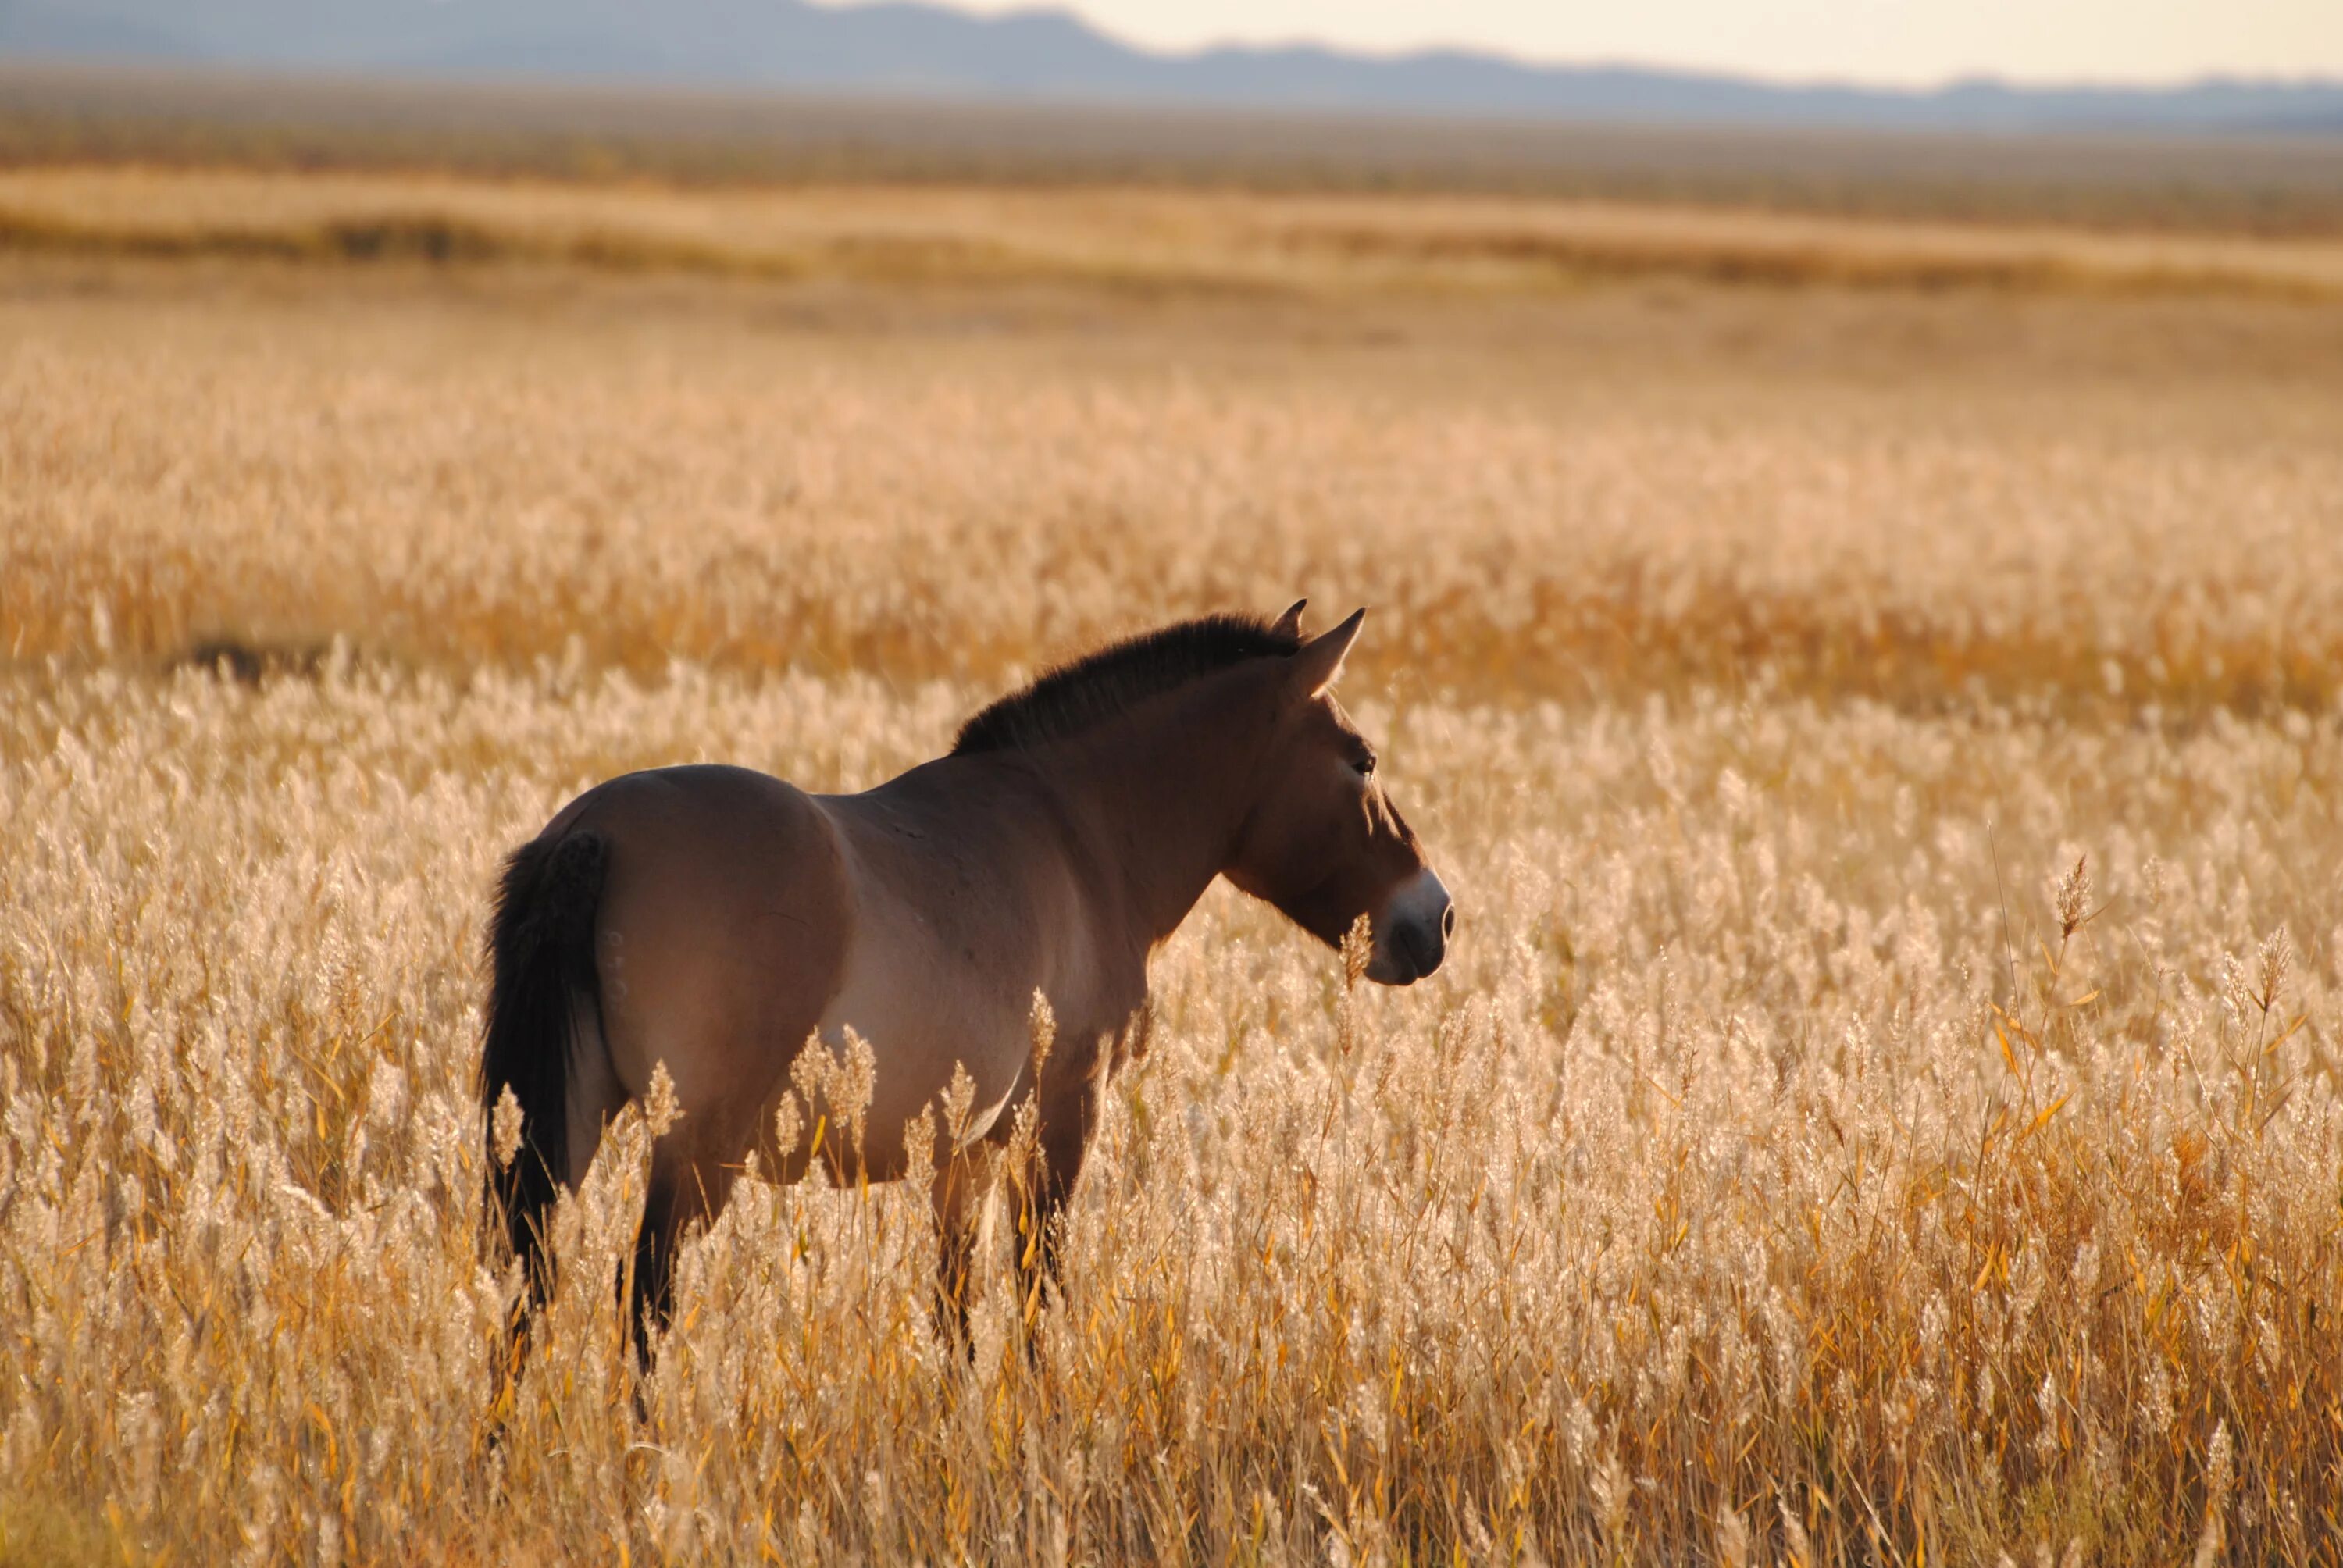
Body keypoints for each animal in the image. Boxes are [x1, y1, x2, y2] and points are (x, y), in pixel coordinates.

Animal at [480, 600, 1443, 1377]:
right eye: (1362, 761)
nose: (1434, 919)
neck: (1075, 833)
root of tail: (596, 830)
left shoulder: (970, 1147)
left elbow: (955, 1306)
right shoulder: (1063, 1114)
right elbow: (1036, 1287)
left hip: (568, 1122)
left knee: (531, 1284)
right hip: (694, 1147)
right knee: (644, 1296)